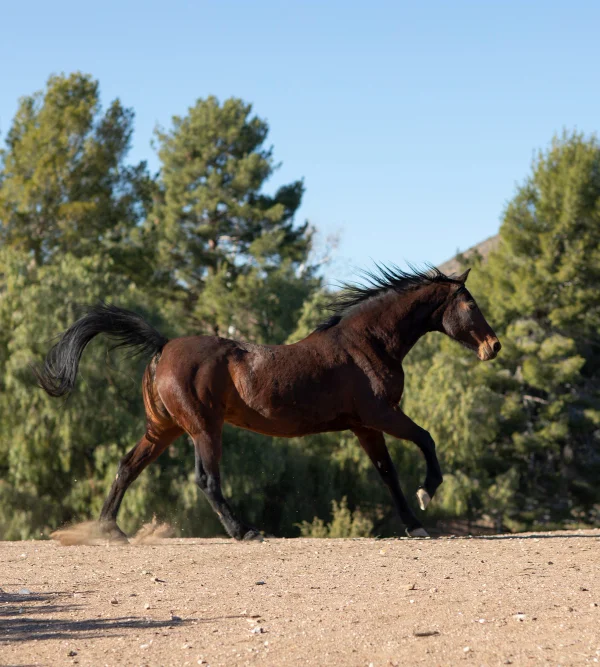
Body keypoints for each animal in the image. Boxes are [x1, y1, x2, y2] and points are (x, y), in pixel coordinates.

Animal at [34, 265, 501, 541]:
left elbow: (388, 474)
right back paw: (245, 531)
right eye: (470, 303)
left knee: (128, 466)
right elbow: (426, 439)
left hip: (163, 430)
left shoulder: (365, 426)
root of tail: (163, 346)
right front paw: (427, 493)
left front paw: (414, 525)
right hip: (203, 429)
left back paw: (109, 529)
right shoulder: (381, 414)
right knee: (206, 480)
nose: (494, 346)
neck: (367, 343)